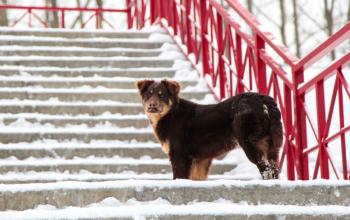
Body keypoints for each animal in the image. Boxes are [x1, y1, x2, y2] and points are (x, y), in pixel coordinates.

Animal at [135, 79, 284, 180]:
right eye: (148, 94)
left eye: (162, 95)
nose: (152, 106)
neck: (170, 114)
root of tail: (263, 99)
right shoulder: (200, 160)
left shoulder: (179, 155)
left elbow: (178, 177)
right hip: (272, 147)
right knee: (274, 169)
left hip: (250, 143)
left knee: (266, 169)